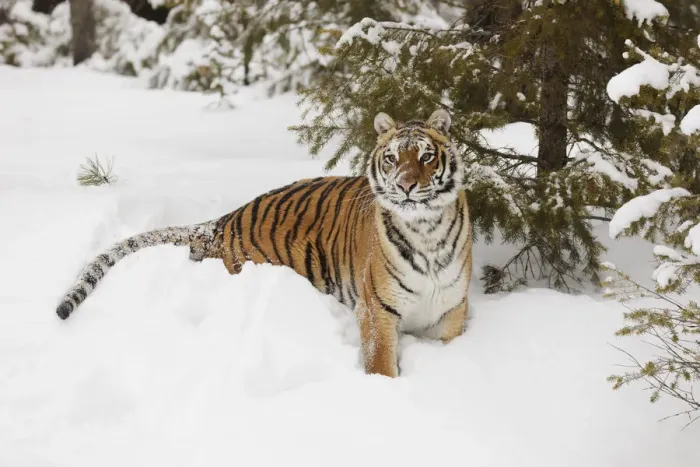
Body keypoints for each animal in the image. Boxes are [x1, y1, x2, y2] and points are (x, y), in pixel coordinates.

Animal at [55, 109, 472, 378]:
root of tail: (224, 220)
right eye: (391, 158)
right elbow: (381, 365)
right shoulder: (377, 311)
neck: (427, 231)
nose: (405, 185)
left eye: (425, 156)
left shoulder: (452, 310)